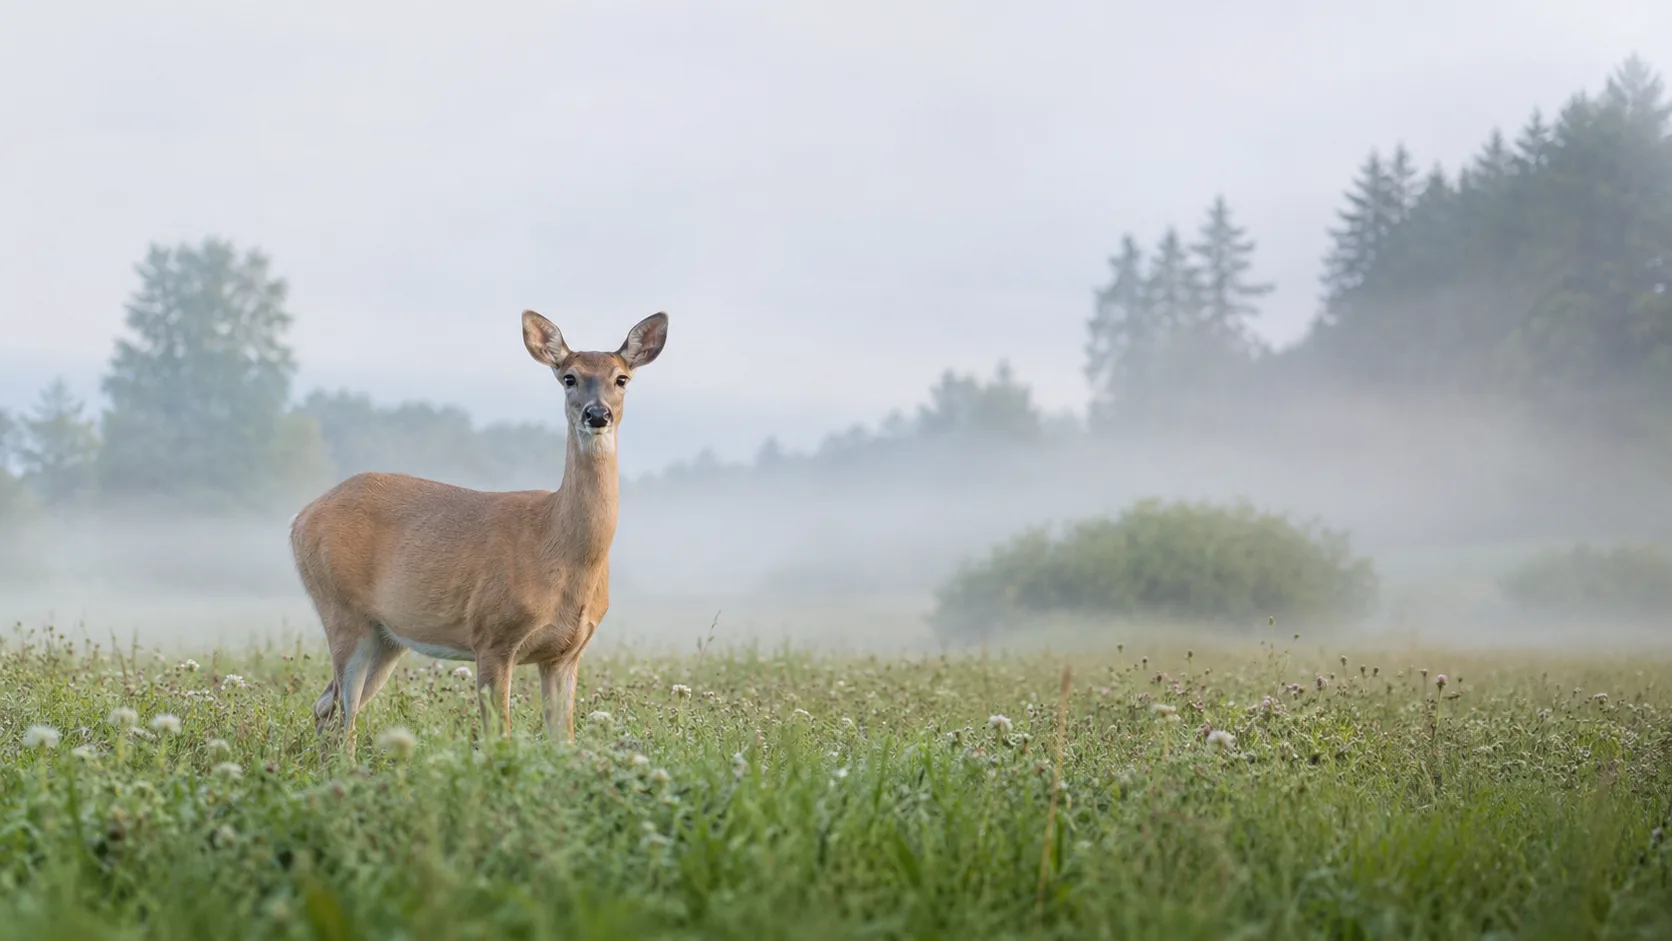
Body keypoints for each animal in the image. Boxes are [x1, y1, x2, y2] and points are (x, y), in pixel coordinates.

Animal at [288, 310, 668, 755]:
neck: (558, 546)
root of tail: (299, 520)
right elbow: (497, 736)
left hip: (387, 636)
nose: (597, 414)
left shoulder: (566, 653)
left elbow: (564, 741)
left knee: (325, 705)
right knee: (343, 712)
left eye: (621, 378)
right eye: (569, 377)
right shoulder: (492, 635)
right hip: (341, 609)